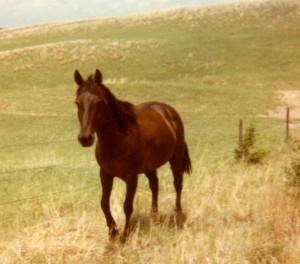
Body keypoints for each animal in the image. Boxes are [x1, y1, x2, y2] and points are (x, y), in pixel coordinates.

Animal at [73, 68, 191, 237]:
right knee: (155, 185)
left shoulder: (131, 177)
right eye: (77, 103)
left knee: (177, 183)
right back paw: (154, 216)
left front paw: (125, 233)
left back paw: (178, 213)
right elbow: (104, 203)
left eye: (99, 102)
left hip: (175, 159)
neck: (118, 140)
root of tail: (168, 110)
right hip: (150, 167)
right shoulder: (105, 174)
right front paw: (113, 230)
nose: (85, 138)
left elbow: (127, 205)